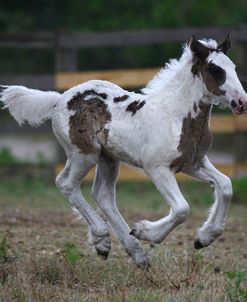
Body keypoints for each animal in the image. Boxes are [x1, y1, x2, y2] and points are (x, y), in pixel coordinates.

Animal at [0, 36, 246, 266]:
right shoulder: (157, 168)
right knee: (66, 183)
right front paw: (145, 231)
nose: (241, 101)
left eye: (234, 68)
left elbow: (225, 186)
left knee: (103, 195)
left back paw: (135, 253)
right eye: (216, 70)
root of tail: (59, 99)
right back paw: (103, 239)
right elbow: (182, 209)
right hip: (84, 154)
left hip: (108, 159)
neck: (175, 115)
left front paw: (204, 238)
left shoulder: (193, 163)